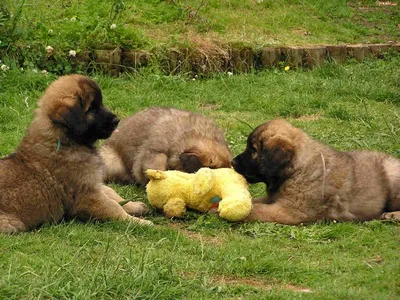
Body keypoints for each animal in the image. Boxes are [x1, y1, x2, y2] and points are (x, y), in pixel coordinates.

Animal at [0, 75, 152, 234]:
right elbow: (113, 207)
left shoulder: (92, 183)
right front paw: (140, 223)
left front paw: (134, 206)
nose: (117, 121)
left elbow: (111, 193)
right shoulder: (86, 194)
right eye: (92, 108)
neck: (64, 140)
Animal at [231, 119, 400, 225]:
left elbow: (254, 210)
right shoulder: (273, 199)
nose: (232, 162)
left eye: (253, 150)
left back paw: (393, 215)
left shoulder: (290, 211)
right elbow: (254, 202)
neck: (297, 170)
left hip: (392, 175)